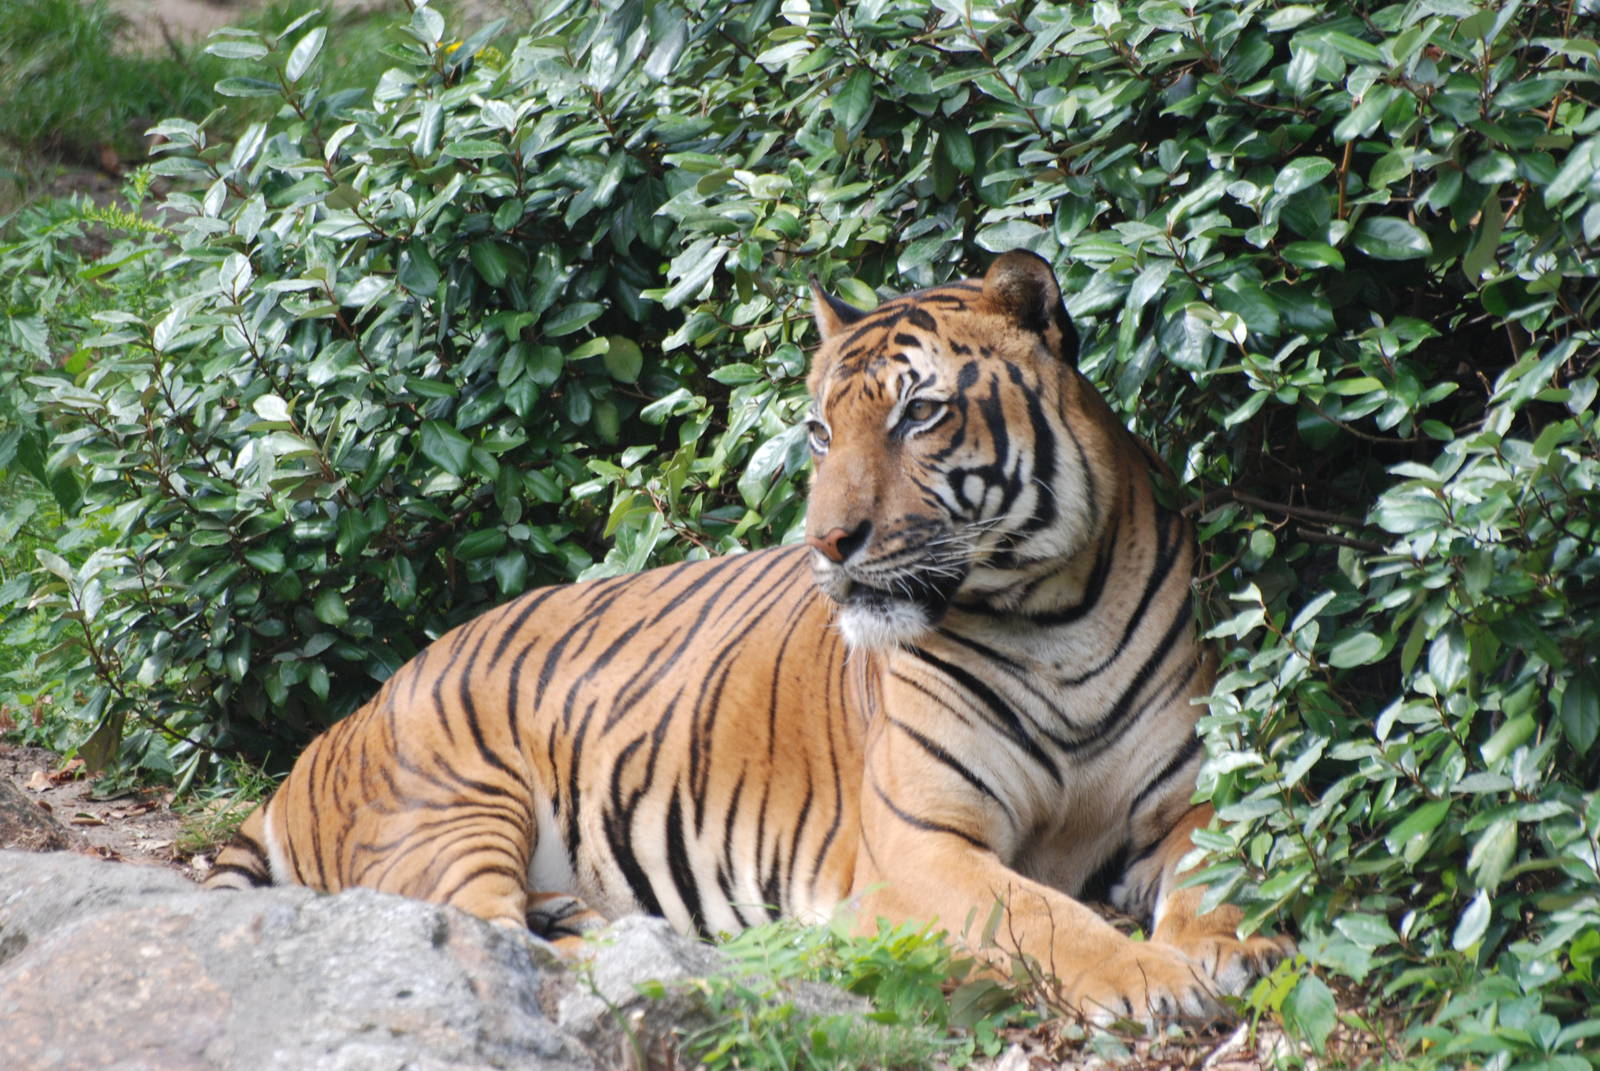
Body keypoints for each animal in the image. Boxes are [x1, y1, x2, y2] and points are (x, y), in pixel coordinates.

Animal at [208, 250, 1290, 1022]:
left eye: (921, 414)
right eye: (819, 432)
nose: (827, 542)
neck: (1047, 616)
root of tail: (329, 736)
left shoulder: (1189, 799)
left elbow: (1227, 869)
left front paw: (1234, 945)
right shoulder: (921, 843)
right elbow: (1037, 912)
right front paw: (1150, 978)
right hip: (460, 807)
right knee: (491, 932)